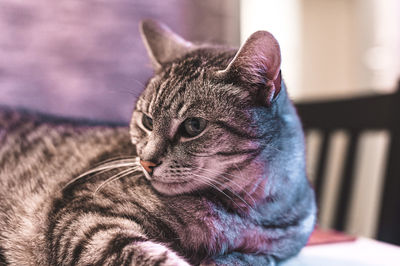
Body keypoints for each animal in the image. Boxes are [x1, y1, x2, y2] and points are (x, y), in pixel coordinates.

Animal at [0, 19, 318, 264]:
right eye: (147, 121)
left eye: (193, 126)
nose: (146, 162)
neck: (245, 212)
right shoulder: (87, 218)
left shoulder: (273, 251)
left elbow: (251, 258)